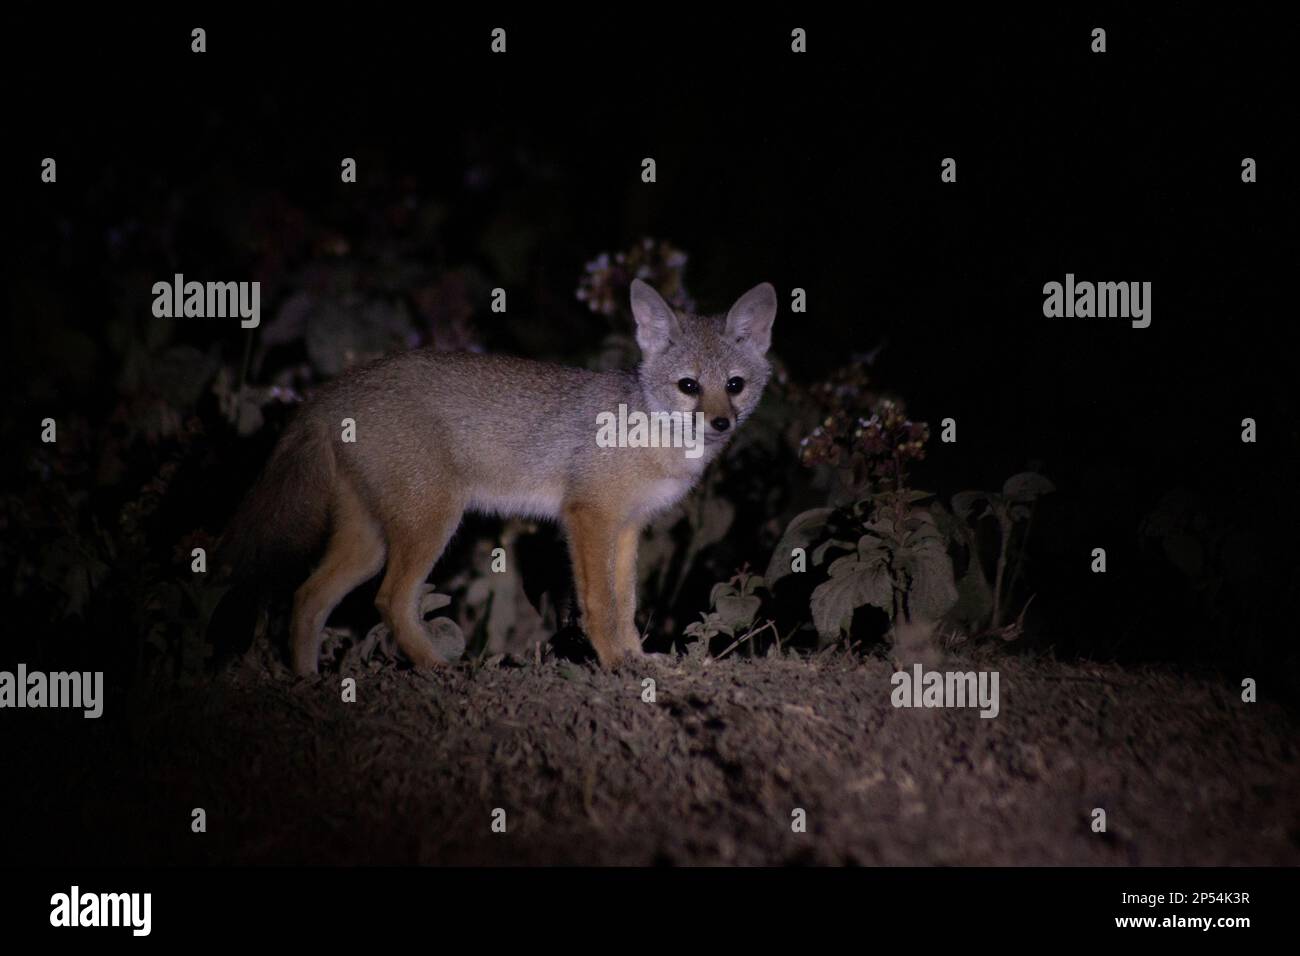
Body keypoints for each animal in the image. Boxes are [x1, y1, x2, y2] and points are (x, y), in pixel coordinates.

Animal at [218, 277, 774, 671]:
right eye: (688, 386)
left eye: (735, 385)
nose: (721, 423)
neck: (650, 432)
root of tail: (336, 388)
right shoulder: (588, 517)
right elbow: (600, 603)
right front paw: (615, 663)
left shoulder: (627, 528)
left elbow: (627, 603)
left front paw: (636, 656)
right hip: (430, 525)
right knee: (391, 600)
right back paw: (438, 668)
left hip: (371, 540)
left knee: (308, 597)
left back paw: (307, 681)